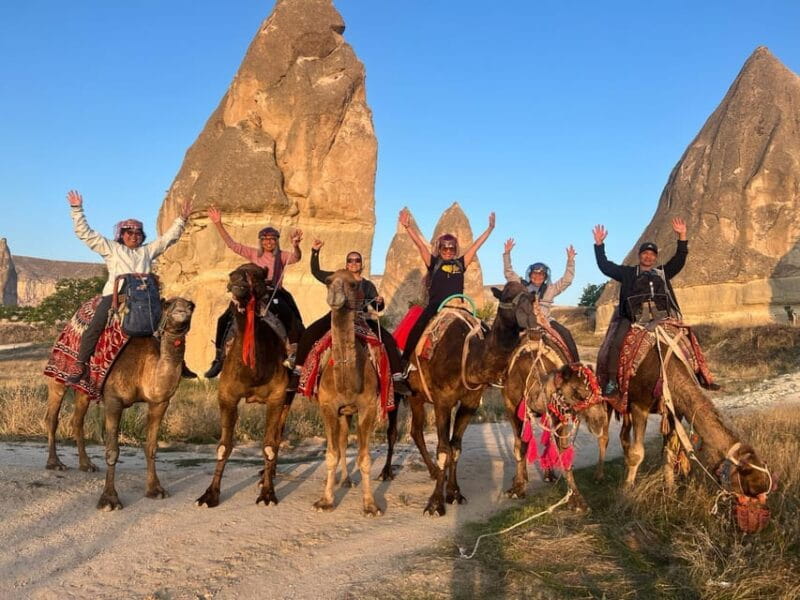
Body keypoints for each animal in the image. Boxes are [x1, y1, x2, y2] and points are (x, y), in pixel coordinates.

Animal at [44, 297, 195, 510]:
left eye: (191, 305)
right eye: (168, 304)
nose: (183, 308)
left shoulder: (160, 402)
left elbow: (152, 447)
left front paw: (155, 490)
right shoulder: (113, 401)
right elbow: (112, 450)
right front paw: (109, 500)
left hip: (83, 390)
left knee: (77, 420)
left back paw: (86, 465)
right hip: (57, 377)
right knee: (52, 417)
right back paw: (55, 463)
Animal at [196, 263, 293, 508]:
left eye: (257, 275)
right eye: (232, 274)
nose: (238, 282)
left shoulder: (278, 396)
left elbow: (268, 445)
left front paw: (268, 493)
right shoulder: (227, 395)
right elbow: (223, 446)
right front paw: (209, 495)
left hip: (289, 395)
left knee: (278, 434)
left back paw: (268, 476)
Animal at [311, 269, 386, 515]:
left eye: (353, 284)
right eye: (328, 281)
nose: (335, 295)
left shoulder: (368, 407)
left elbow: (365, 458)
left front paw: (370, 505)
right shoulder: (328, 407)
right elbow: (331, 454)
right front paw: (325, 501)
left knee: (345, 441)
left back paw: (346, 481)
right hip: (341, 412)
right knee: (341, 443)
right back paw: (339, 480)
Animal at [394, 280, 534, 516]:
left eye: (532, 298)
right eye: (506, 297)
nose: (530, 318)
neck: (467, 357)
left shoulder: (470, 403)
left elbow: (456, 447)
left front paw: (454, 493)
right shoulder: (442, 401)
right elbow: (443, 449)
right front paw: (435, 504)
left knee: (417, 431)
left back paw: (435, 473)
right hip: (413, 395)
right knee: (415, 431)